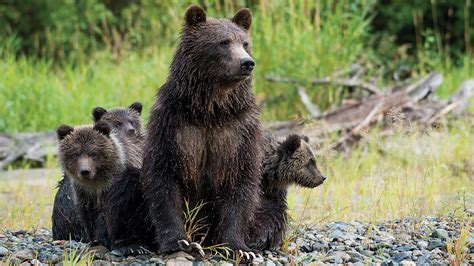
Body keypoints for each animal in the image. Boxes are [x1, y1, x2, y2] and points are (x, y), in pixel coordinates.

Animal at [141, 4, 262, 258]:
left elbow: (240, 183)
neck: (210, 110)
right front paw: (181, 242)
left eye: (245, 43)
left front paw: (239, 248)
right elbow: (163, 179)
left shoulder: (239, 131)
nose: (247, 63)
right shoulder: (173, 126)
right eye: (223, 42)